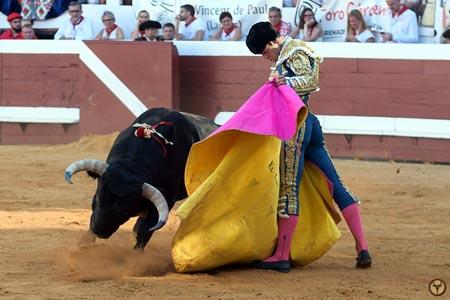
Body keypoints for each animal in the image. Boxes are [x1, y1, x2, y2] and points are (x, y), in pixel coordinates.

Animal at [64, 107, 217, 248]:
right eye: (97, 198)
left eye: (125, 210)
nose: (99, 231)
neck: (132, 165)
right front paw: (83, 244)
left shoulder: (166, 199)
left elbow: (145, 230)